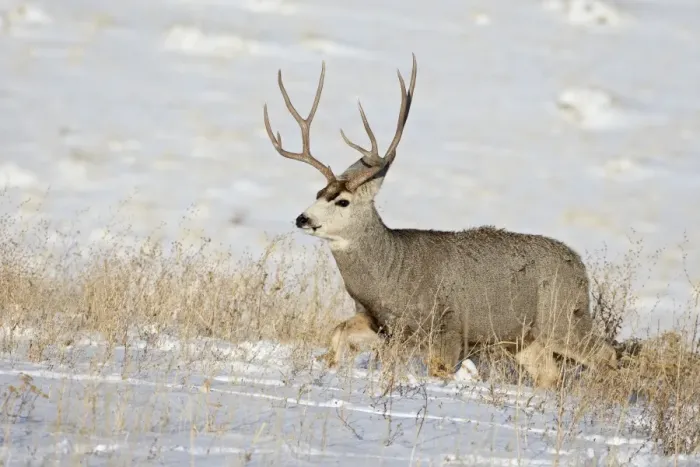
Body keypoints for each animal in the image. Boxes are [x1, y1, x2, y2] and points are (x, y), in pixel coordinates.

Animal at [262, 54, 618, 388]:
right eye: (318, 192)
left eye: (342, 201)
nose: (302, 218)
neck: (392, 275)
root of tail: (579, 265)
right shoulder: (380, 323)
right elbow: (338, 333)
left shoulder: (449, 329)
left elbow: (439, 369)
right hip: (527, 339)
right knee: (550, 375)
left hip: (563, 318)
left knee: (605, 354)